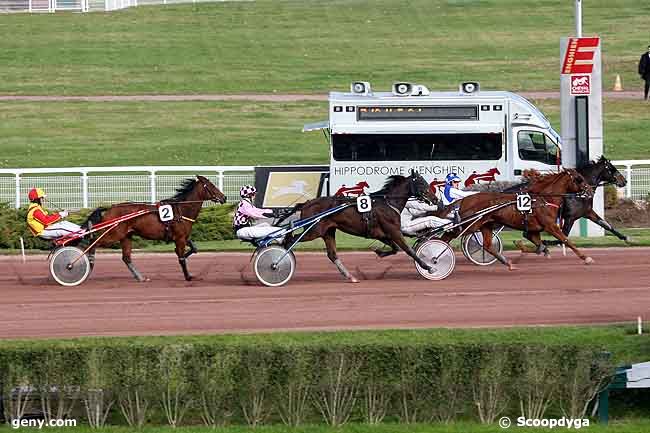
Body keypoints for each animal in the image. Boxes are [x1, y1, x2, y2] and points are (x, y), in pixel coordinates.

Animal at [84, 175, 225, 280]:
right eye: (211, 186)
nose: (224, 197)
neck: (181, 210)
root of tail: (110, 208)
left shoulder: (183, 237)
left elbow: (193, 249)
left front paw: (183, 254)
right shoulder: (179, 238)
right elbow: (181, 258)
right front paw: (188, 276)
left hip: (126, 236)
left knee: (126, 257)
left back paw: (140, 277)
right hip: (114, 234)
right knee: (93, 243)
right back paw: (89, 263)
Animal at [284, 170, 436, 282]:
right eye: (422, 183)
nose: (435, 199)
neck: (388, 204)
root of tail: (307, 203)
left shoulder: (382, 234)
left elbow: (395, 249)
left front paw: (379, 251)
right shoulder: (394, 231)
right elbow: (409, 250)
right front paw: (428, 266)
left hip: (328, 231)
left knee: (332, 254)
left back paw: (350, 276)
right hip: (314, 231)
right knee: (290, 240)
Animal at [436, 170, 592, 268]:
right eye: (579, 178)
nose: (590, 190)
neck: (543, 199)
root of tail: (464, 200)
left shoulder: (533, 230)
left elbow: (540, 246)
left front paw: (522, 247)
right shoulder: (550, 226)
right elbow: (566, 240)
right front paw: (586, 258)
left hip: (486, 225)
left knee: (487, 246)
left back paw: (508, 263)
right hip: (469, 225)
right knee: (445, 237)